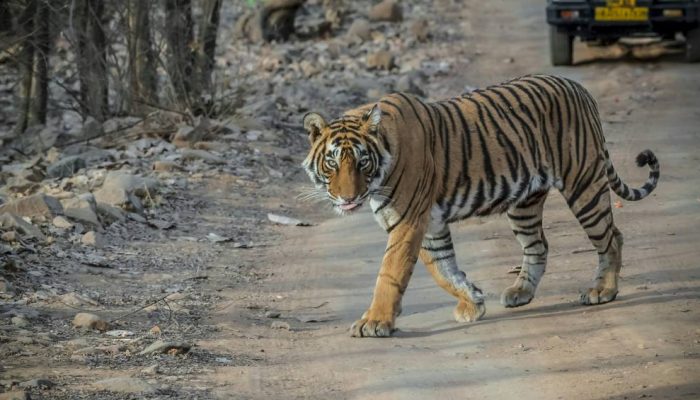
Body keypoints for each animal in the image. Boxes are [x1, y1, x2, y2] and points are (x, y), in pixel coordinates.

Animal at [301, 74, 659, 338]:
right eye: (332, 162)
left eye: (362, 162)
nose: (348, 198)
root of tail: (580, 87)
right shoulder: (429, 224)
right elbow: (443, 269)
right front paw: (472, 301)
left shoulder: (408, 221)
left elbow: (390, 273)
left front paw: (375, 322)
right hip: (525, 204)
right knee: (539, 245)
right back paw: (520, 292)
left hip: (583, 184)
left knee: (612, 237)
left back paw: (603, 291)